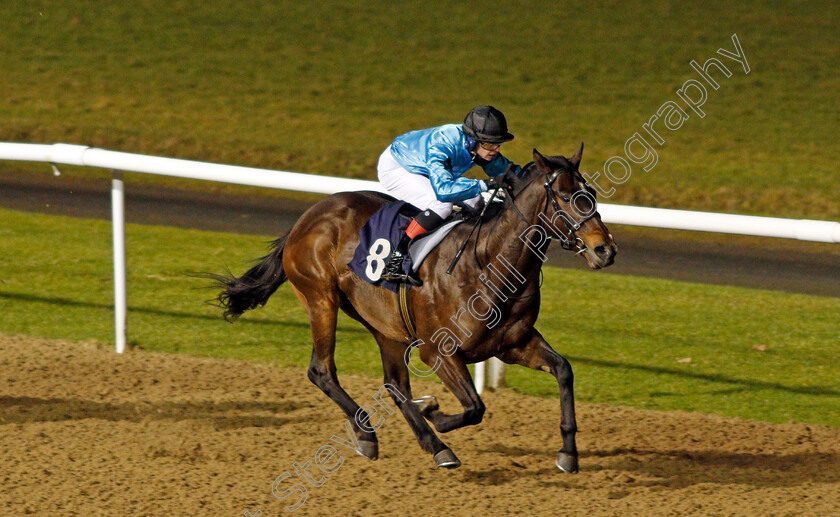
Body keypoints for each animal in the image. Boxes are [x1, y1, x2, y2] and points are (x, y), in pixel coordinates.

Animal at [210, 144, 616, 472]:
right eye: (563, 195)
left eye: (591, 193)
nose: (605, 249)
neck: (487, 263)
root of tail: (307, 217)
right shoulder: (438, 351)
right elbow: (474, 407)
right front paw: (432, 410)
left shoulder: (514, 344)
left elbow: (564, 371)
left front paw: (568, 453)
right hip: (320, 299)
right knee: (322, 370)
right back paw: (372, 435)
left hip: (384, 324)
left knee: (394, 384)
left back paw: (434, 446)